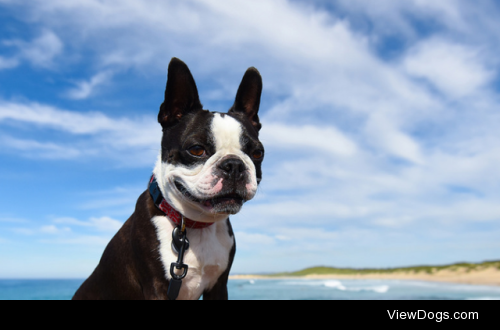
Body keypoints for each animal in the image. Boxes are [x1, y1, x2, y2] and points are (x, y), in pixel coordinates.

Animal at [73, 58, 266, 300]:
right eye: (196, 149)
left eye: (257, 153)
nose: (234, 165)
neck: (194, 225)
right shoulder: (157, 289)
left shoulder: (219, 286)